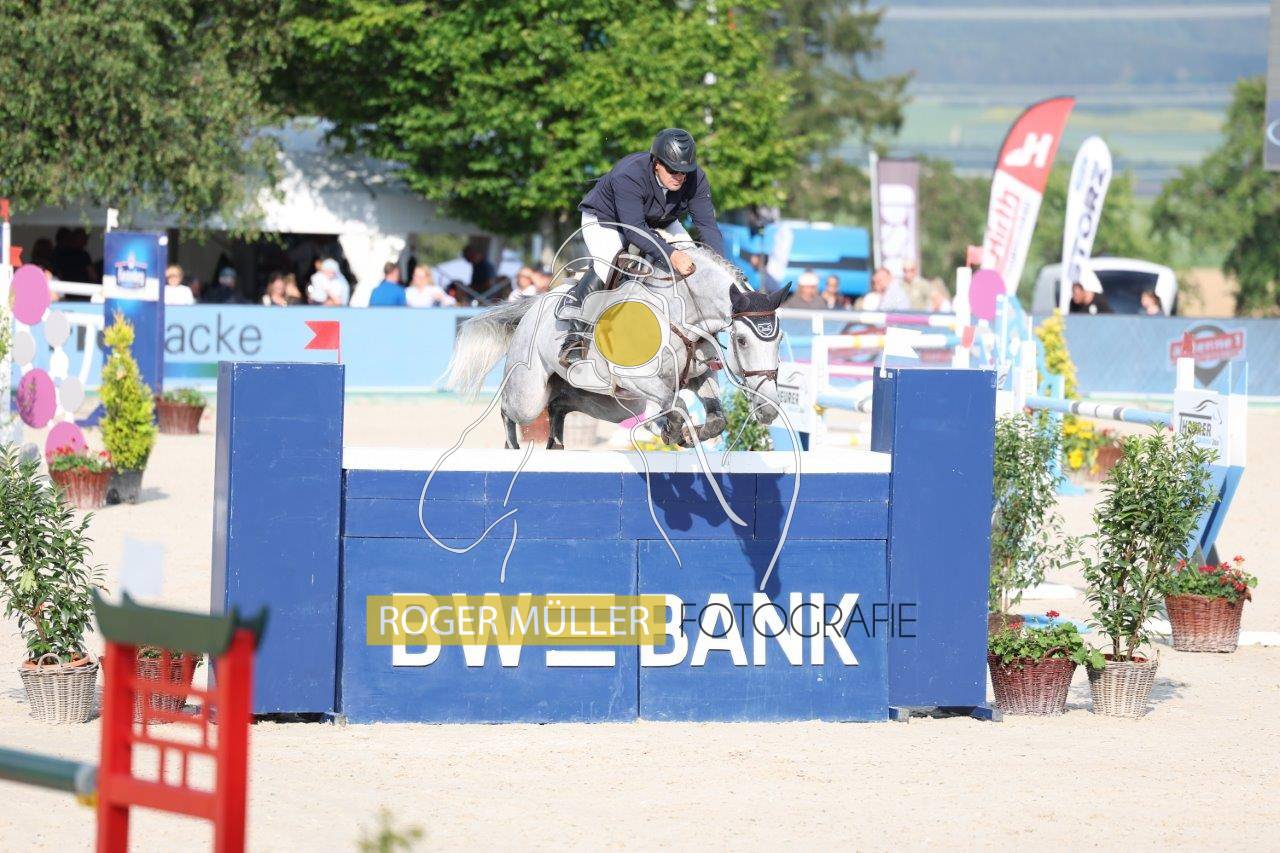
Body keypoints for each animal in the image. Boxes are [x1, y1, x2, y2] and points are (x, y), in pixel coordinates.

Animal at [445, 243, 788, 449]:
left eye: (780, 340)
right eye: (742, 340)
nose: (769, 410)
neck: (679, 311)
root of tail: (535, 305)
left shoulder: (698, 376)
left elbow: (716, 419)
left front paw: (688, 435)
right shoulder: (635, 377)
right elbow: (674, 403)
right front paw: (671, 429)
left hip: (605, 402)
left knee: (560, 405)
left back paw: (555, 443)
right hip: (529, 395)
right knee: (510, 410)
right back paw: (513, 448)